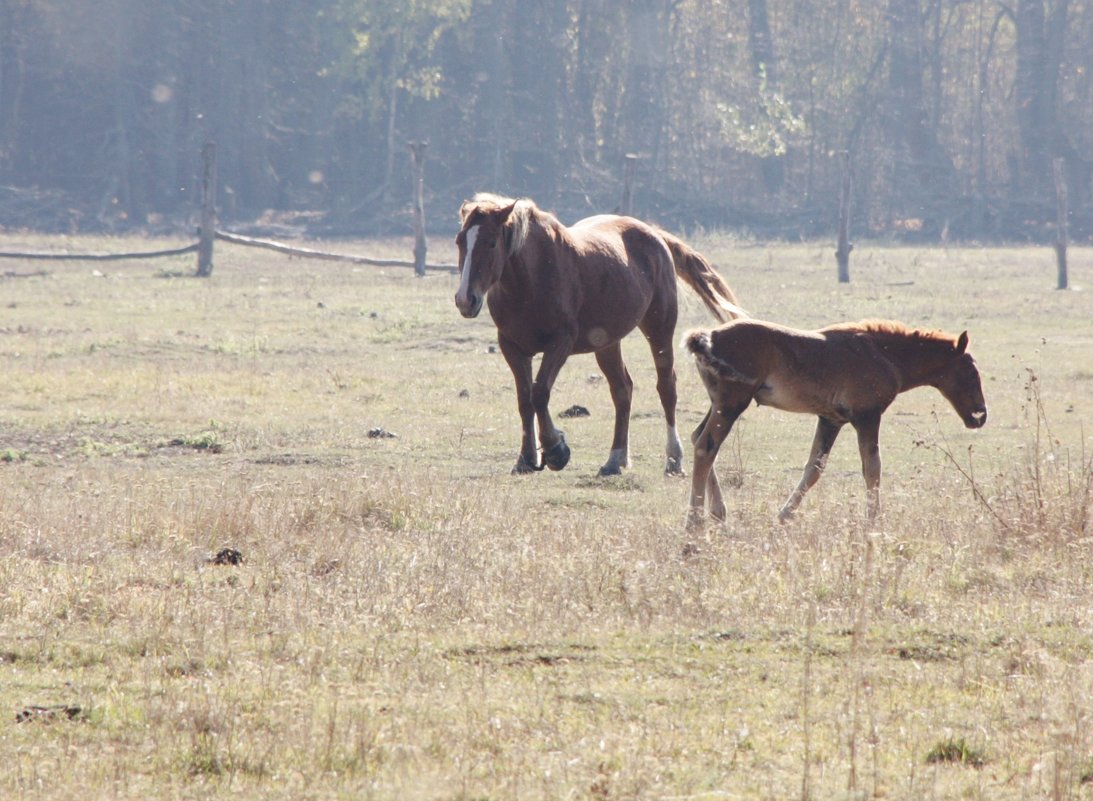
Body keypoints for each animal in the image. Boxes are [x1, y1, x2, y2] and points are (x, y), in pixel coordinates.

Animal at [452, 193, 743, 474]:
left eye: (491, 243)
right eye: (459, 242)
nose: (466, 299)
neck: (531, 281)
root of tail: (654, 235)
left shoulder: (560, 343)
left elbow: (540, 393)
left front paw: (556, 450)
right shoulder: (512, 346)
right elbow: (525, 400)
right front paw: (525, 459)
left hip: (659, 329)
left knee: (666, 387)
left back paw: (674, 459)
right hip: (606, 343)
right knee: (622, 390)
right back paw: (615, 460)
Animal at [686, 314, 988, 528]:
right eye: (970, 371)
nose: (980, 415)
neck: (884, 353)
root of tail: (707, 337)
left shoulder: (830, 420)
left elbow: (814, 469)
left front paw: (784, 516)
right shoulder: (867, 417)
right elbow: (873, 468)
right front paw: (874, 521)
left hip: (720, 404)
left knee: (697, 438)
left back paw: (718, 513)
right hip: (731, 404)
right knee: (706, 447)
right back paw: (695, 522)